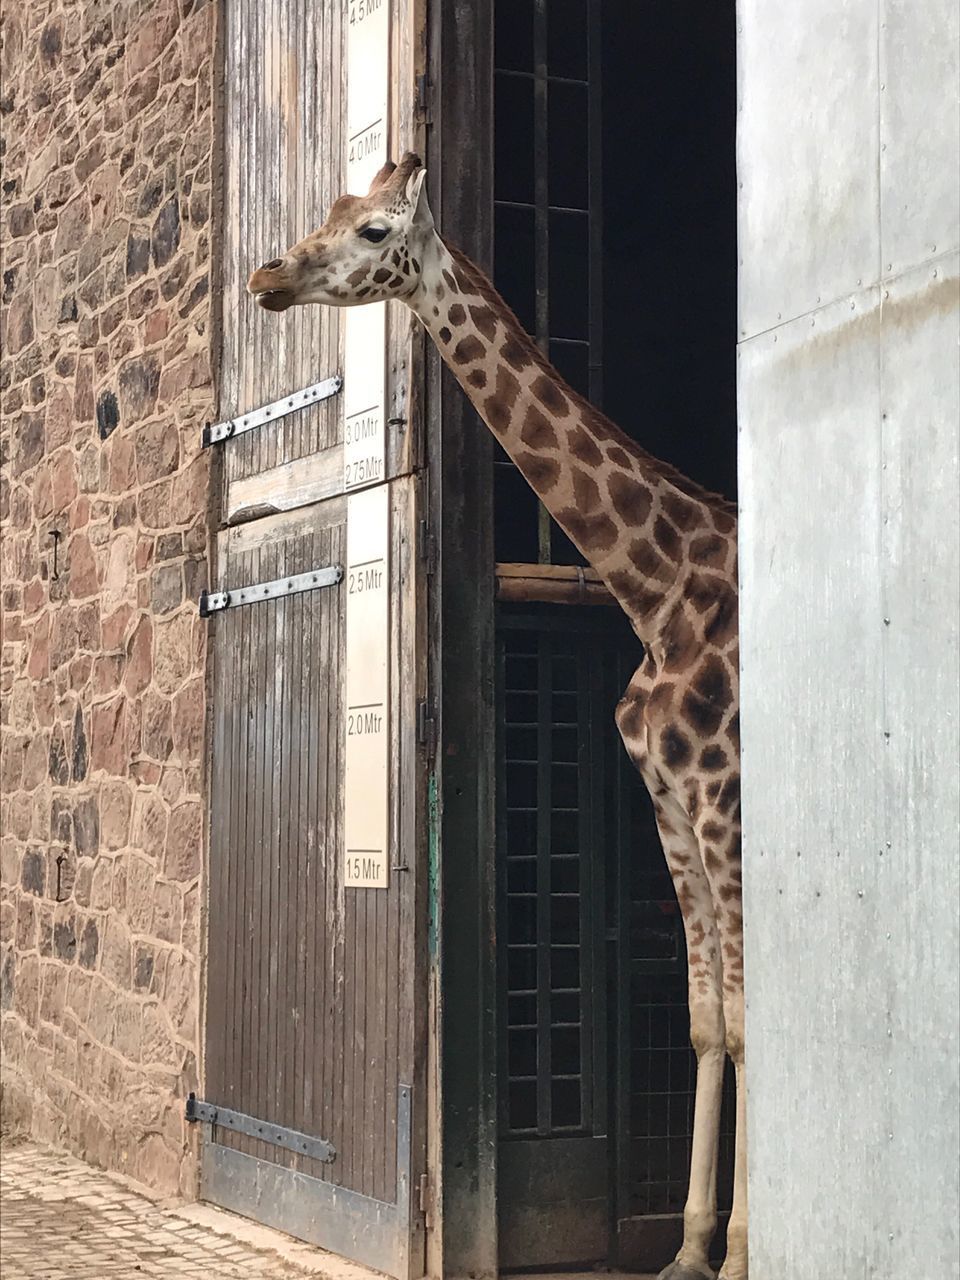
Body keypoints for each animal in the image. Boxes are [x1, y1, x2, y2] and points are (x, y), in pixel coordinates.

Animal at [248, 152, 742, 1280]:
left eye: (375, 229)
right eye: (332, 206)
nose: (266, 276)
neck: (656, 586)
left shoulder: (725, 800)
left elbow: (751, 1015)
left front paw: (741, 1249)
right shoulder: (671, 808)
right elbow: (710, 1022)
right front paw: (691, 1248)